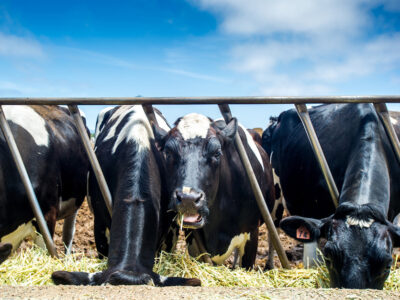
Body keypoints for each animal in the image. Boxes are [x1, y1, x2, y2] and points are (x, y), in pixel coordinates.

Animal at [262, 103, 400, 288]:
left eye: (387, 265)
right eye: (330, 257)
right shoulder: (310, 208)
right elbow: (311, 261)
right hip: (276, 195)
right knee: (273, 230)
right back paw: (269, 265)